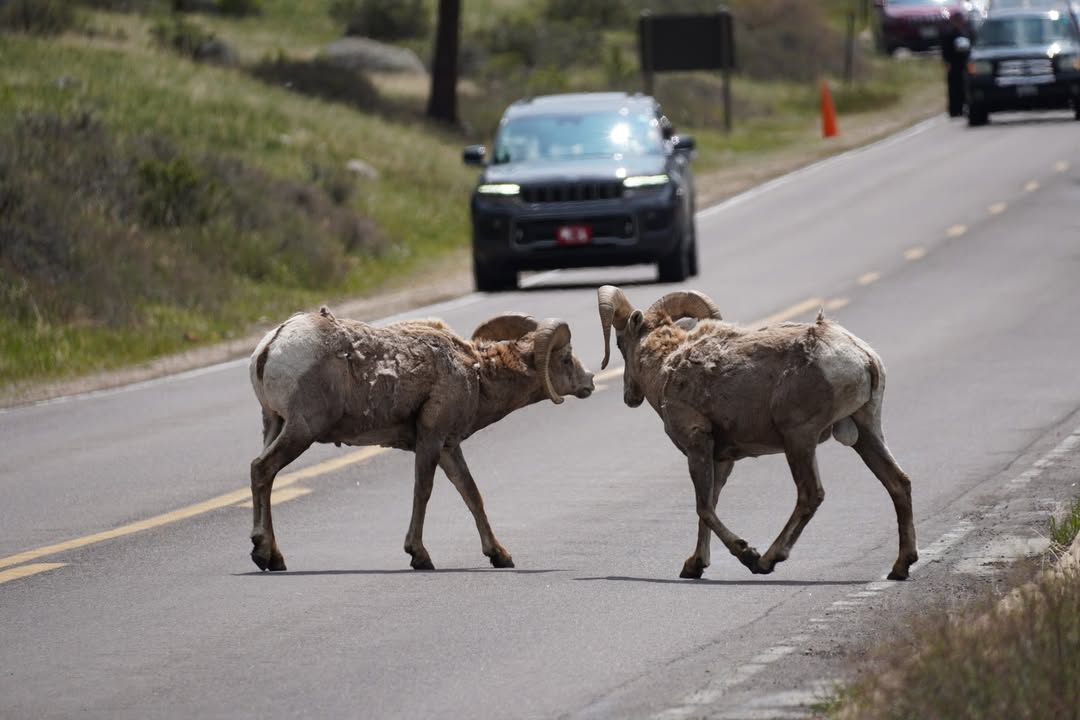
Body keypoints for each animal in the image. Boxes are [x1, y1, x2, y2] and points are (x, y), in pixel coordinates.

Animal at [248, 307, 594, 572]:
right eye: (565, 359)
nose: (589, 381)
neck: (476, 376)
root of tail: (269, 348)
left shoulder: (449, 447)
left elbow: (472, 494)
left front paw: (500, 555)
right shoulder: (431, 439)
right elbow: (423, 492)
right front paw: (419, 556)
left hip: (274, 425)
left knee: (261, 476)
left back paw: (271, 557)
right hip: (301, 430)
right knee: (262, 470)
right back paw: (265, 554)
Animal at [596, 285, 917, 581]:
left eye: (620, 343)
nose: (630, 397)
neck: (667, 366)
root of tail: (863, 357)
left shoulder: (697, 444)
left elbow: (704, 507)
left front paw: (745, 553)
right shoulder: (722, 459)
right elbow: (710, 505)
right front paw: (694, 566)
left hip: (799, 439)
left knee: (810, 495)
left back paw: (766, 561)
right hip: (867, 432)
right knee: (898, 483)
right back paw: (900, 567)